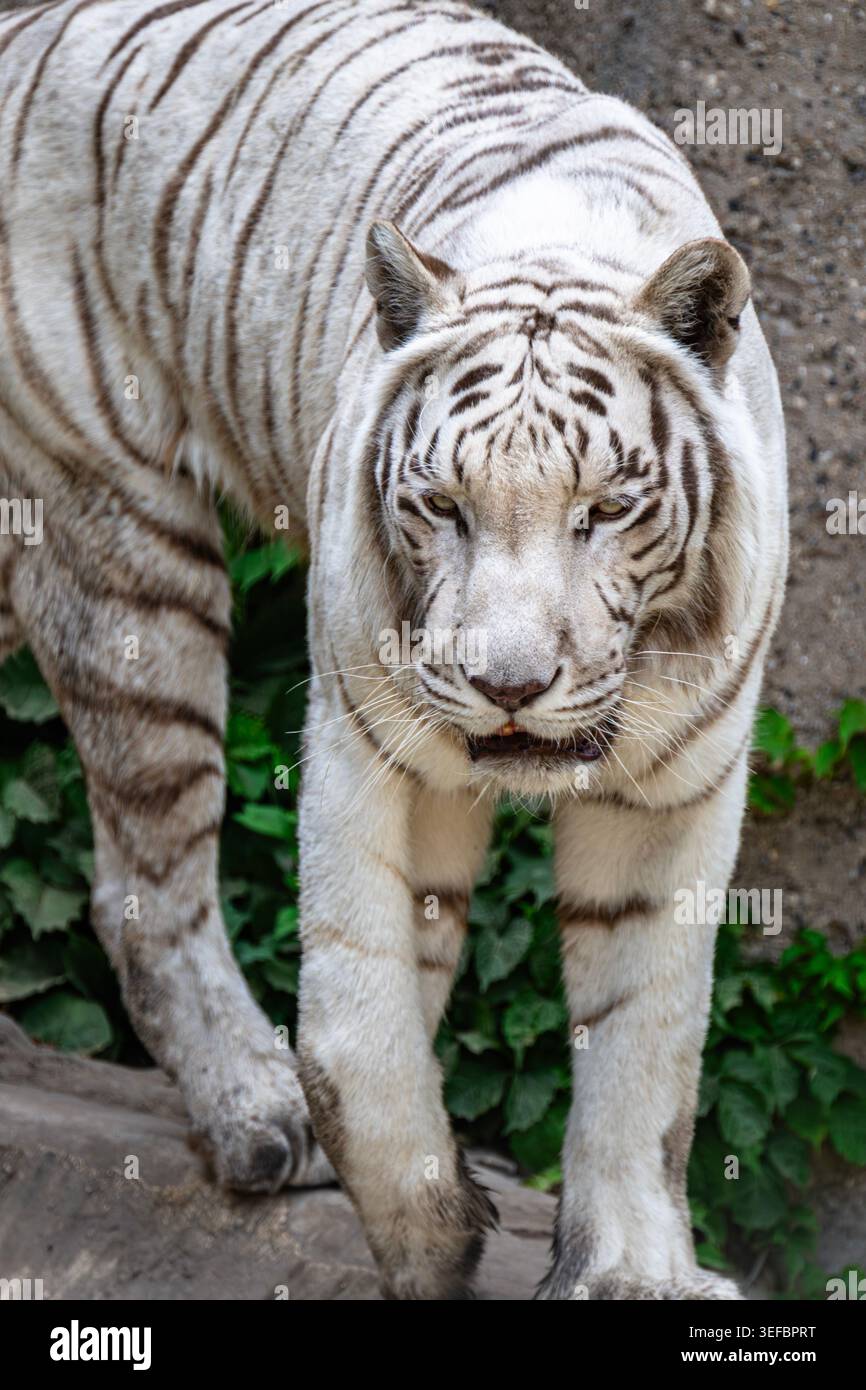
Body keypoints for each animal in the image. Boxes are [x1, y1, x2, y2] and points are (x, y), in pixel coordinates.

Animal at [0, 0, 787, 1300]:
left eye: (604, 510)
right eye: (441, 507)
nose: (508, 688)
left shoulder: (675, 782)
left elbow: (644, 1033)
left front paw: (628, 1267)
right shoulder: (377, 738)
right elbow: (357, 1020)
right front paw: (429, 1232)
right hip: (121, 538)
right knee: (144, 882)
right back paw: (258, 1113)